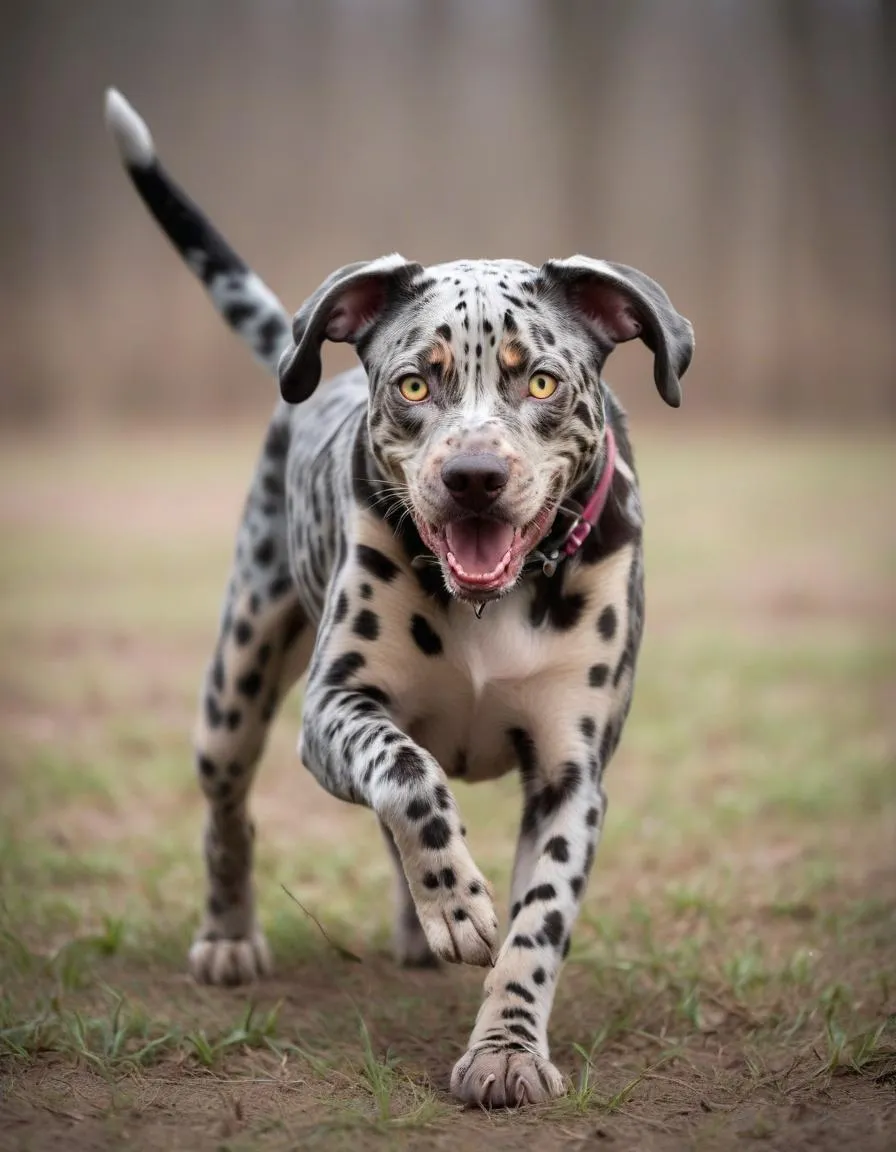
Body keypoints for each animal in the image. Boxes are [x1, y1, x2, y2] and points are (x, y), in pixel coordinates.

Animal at [104, 85, 691, 1110]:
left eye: (542, 379)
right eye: (416, 383)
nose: (473, 476)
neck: (493, 603)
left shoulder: (571, 772)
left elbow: (536, 922)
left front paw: (506, 1048)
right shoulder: (336, 708)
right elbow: (408, 776)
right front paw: (454, 904)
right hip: (234, 687)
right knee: (232, 811)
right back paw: (233, 934)